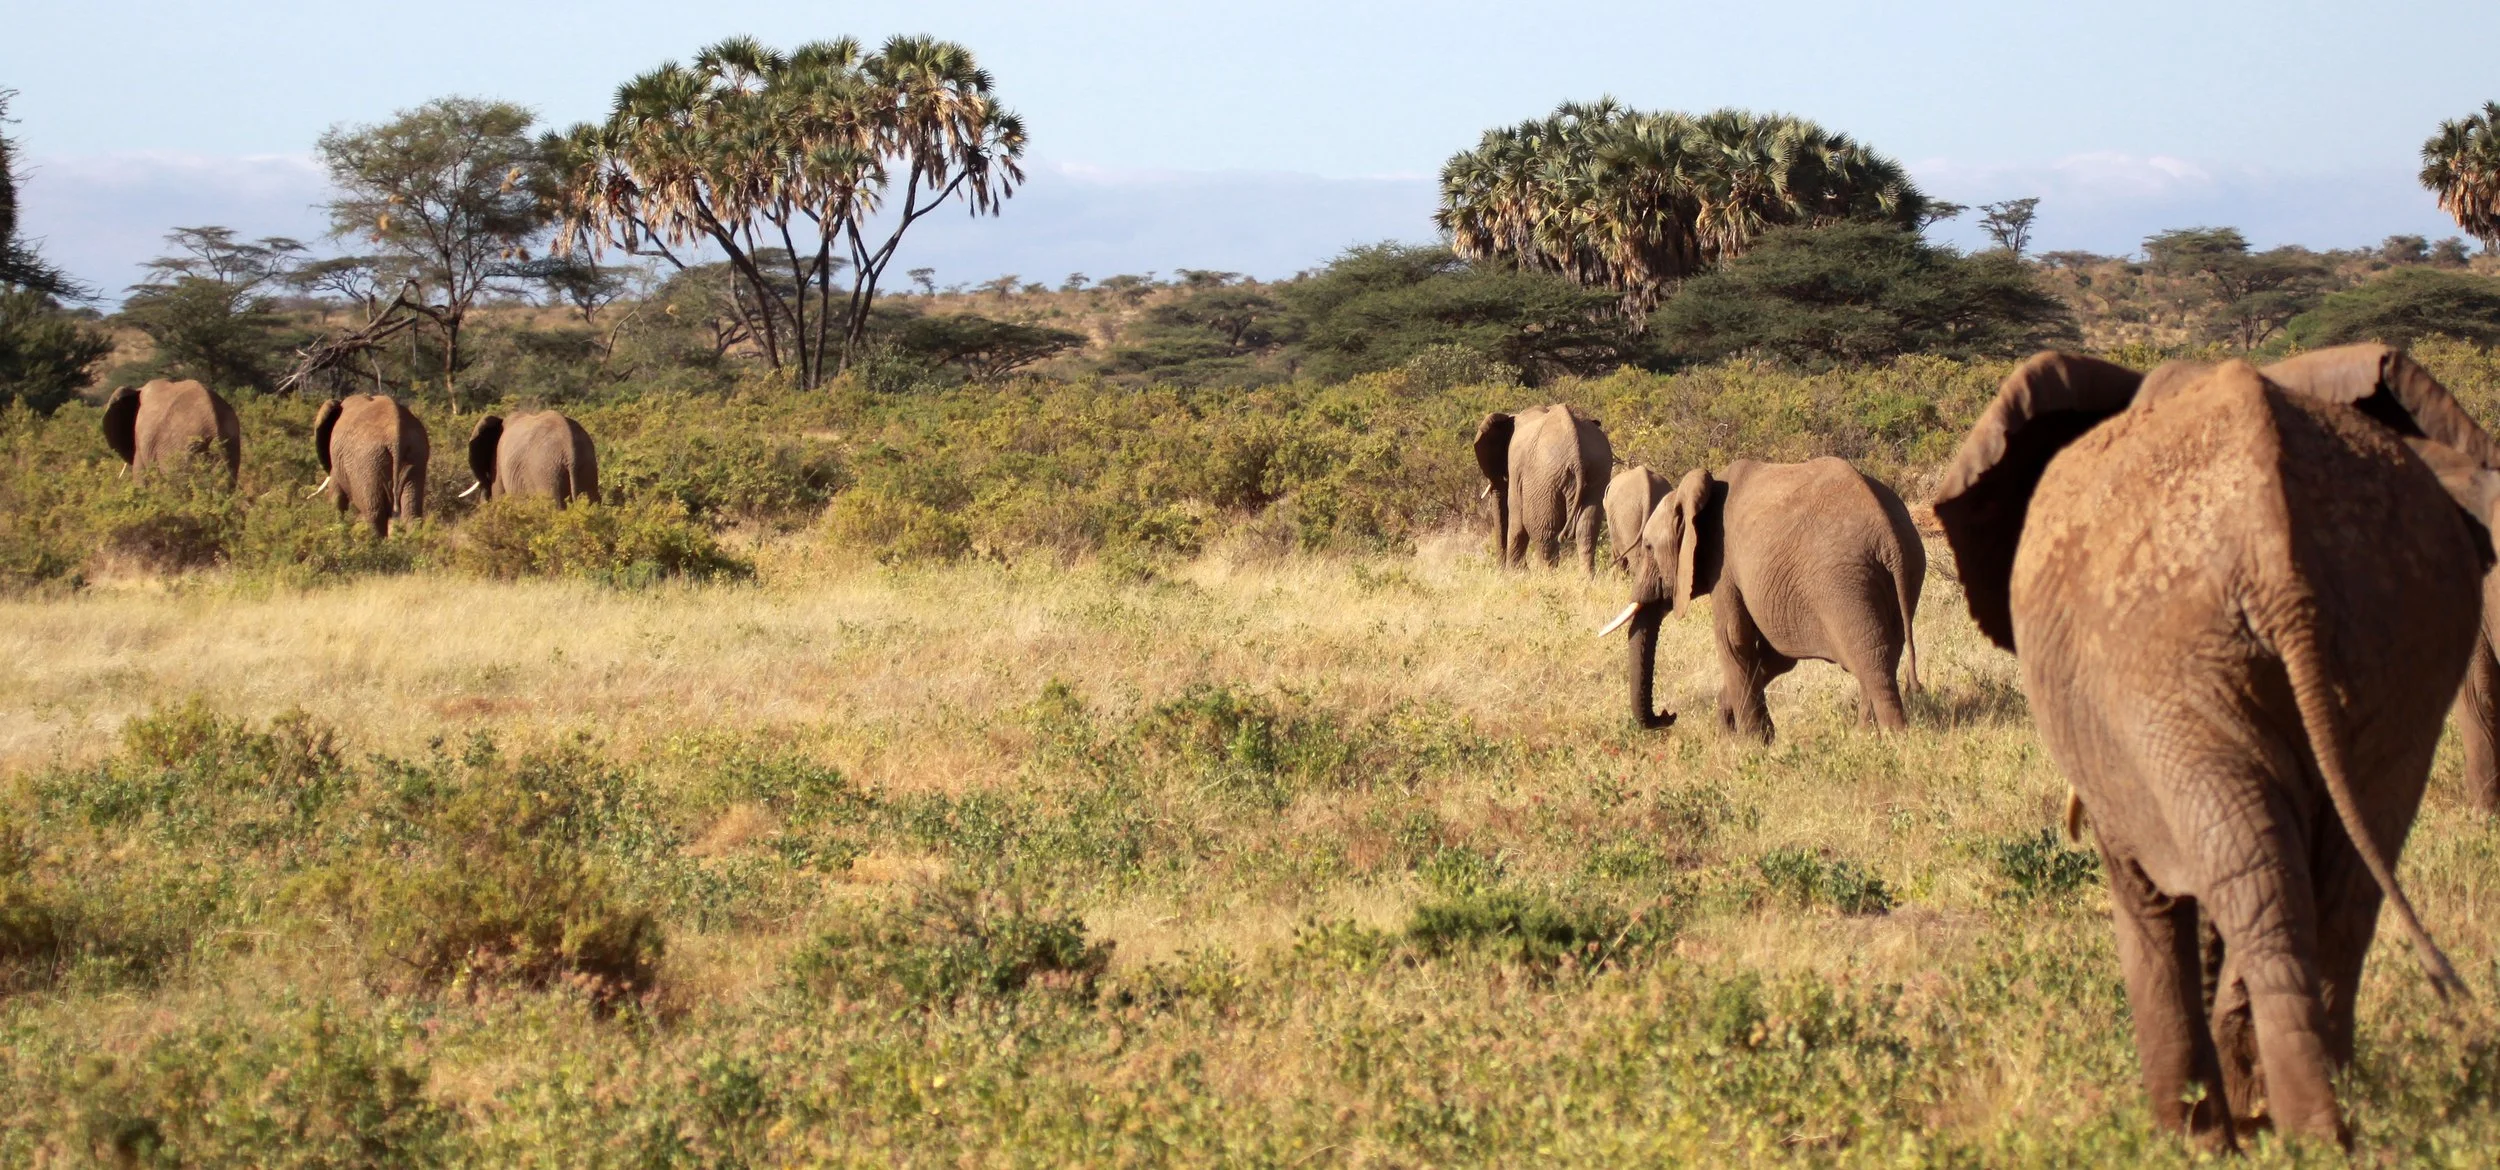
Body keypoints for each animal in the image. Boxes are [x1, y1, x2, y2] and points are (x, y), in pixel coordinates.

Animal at [311, 395, 430, 537]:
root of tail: (396, 438)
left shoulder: (337, 462)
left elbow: (337, 498)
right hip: (415, 456)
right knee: (411, 511)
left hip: (369, 462)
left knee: (374, 512)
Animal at [1474, 404, 1612, 573]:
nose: (1500, 569)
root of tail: (1576, 455)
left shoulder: (1517, 468)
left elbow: (1516, 517)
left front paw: (1516, 573)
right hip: (1597, 469)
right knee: (1586, 529)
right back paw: (1585, 577)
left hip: (1543, 479)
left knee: (1544, 532)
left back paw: (1544, 575)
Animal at [1600, 457, 1923, 739]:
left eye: (1648, 548)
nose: (1668, 715)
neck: (1698, 492)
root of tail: (1887, 534)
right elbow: (1776, 656)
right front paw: (1733, 727)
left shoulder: (1724, 562)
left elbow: (1733, 638)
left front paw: (1749, 742)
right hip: (1902, 575)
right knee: (1884, 654)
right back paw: (1865, 736)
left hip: (1845, 583)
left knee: (1870, 660)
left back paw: (1889, 740)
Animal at [1929, 346, 2489, 1149]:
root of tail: (2277, 552)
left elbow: (2148, 895)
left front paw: (2182, 1138)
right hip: (2395, 627)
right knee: (2339, 883)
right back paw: (2317, 1126)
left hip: (2166, 665)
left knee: (2255, 878)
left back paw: (2288, 1128)